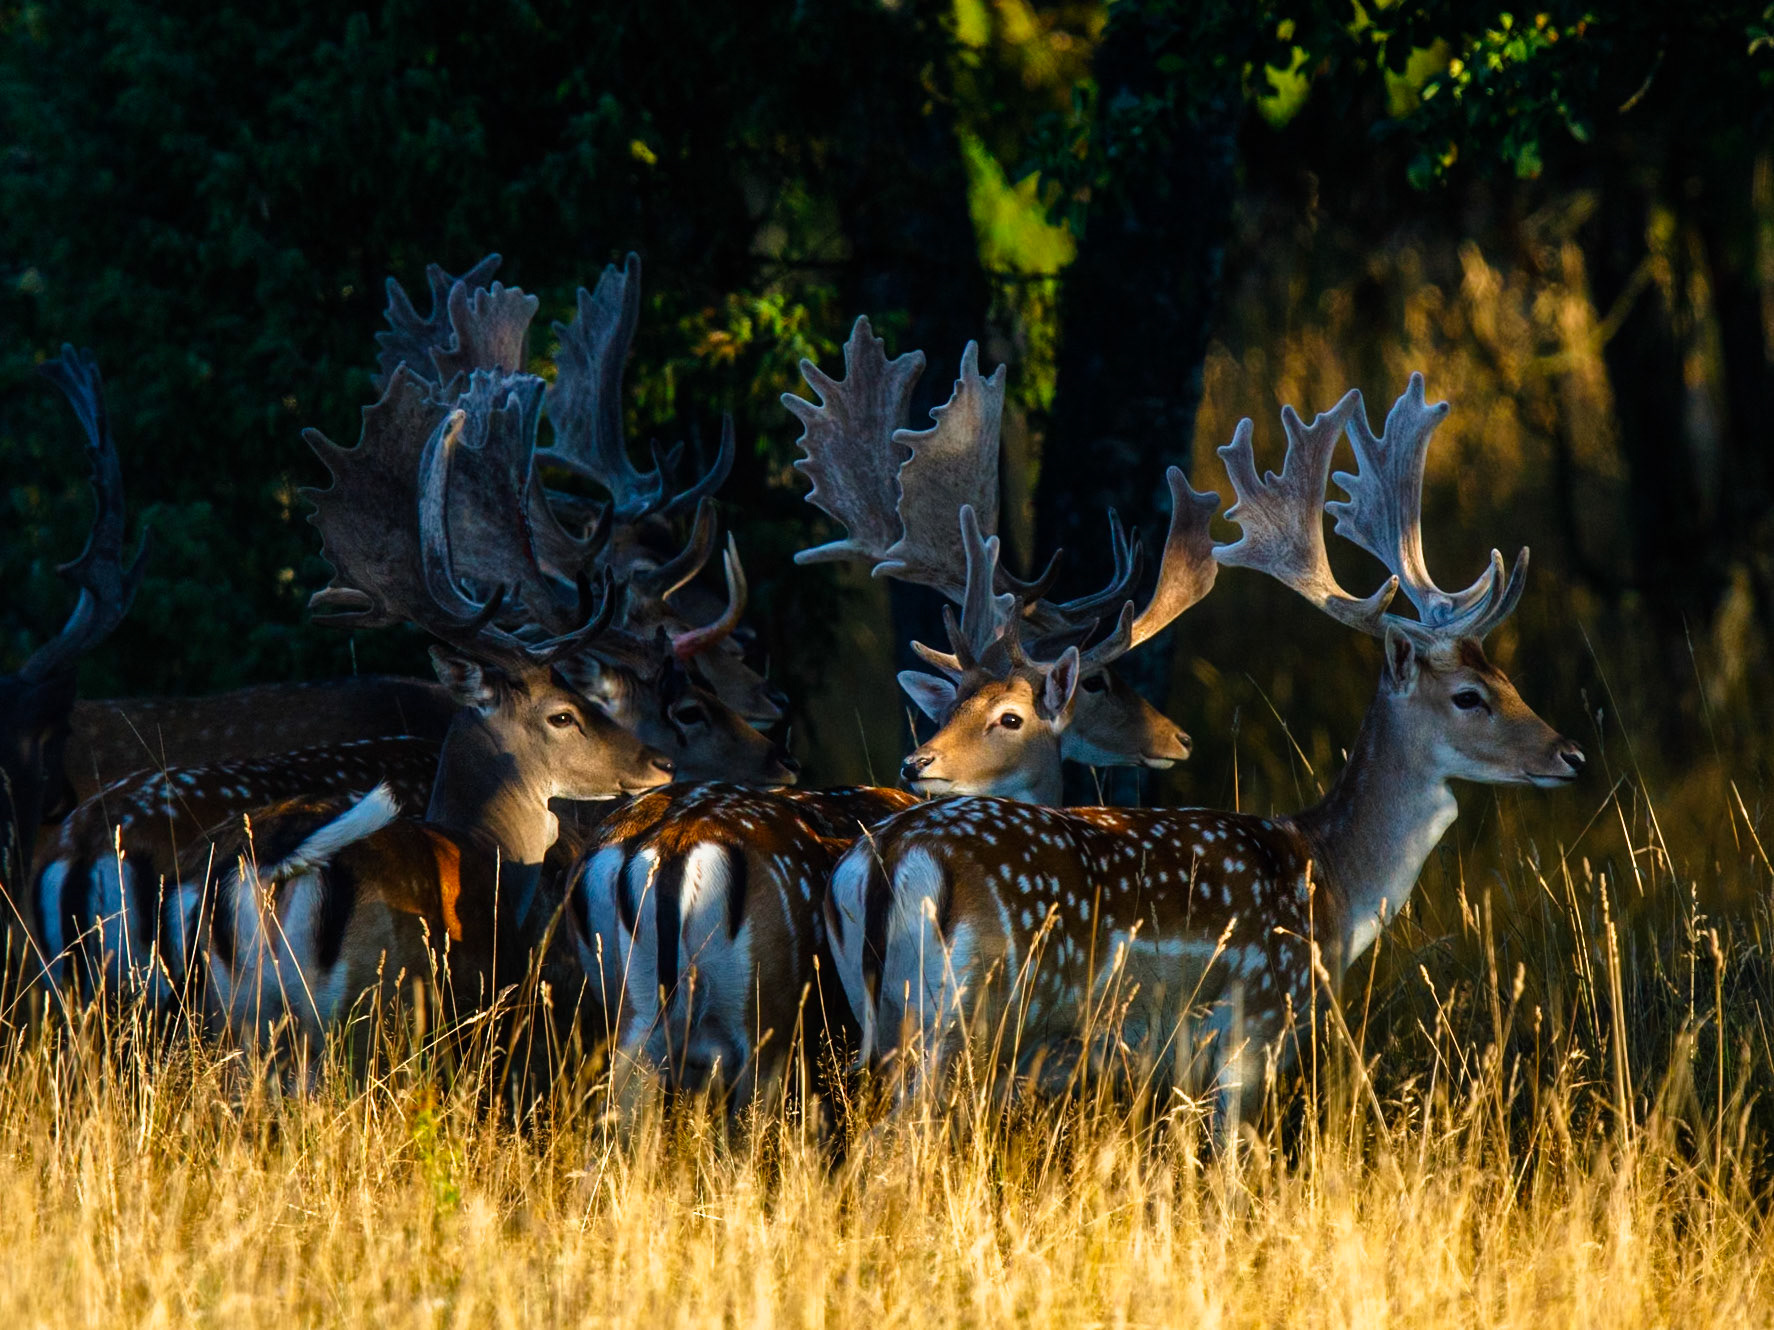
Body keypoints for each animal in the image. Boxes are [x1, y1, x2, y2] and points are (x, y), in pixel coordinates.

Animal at [827, 374, 1586, 1136]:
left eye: (1507, 678)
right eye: (1469, 696)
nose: (1570, 752)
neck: (1331, 884)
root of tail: (890, 854)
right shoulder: (1256, 1022)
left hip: (879, 1010)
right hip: (972, 1011)